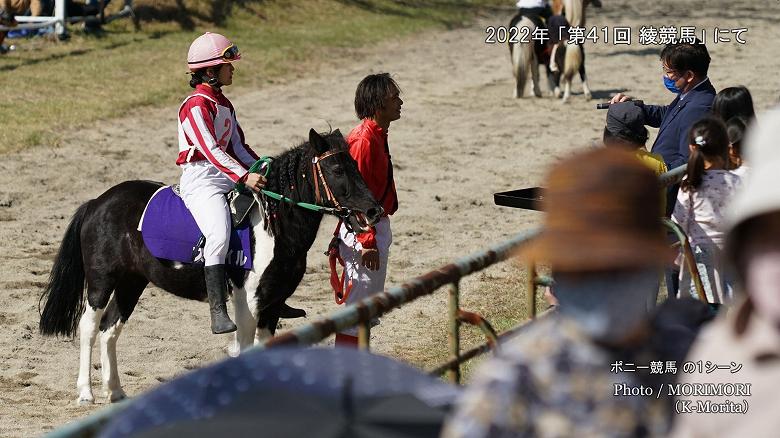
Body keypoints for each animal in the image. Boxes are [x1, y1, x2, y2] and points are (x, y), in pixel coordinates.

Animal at [38, 129, 380, 404]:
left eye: (356, 166)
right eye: (337, 169)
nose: (374, 210)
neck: (274, 224)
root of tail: (97, 202)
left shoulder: (272, 303)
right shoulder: (248, 301)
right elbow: (244, 348)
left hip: (131, 283)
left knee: (110, 328)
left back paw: (116, 392)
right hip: (102, 280)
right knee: (89, 326)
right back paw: (86, 392)